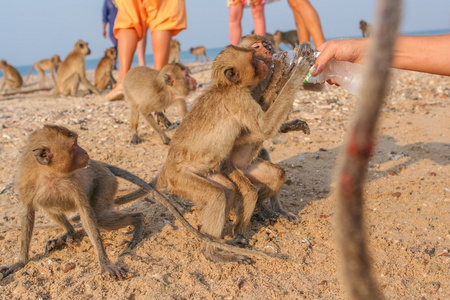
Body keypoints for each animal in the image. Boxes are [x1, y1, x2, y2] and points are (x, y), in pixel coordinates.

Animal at [0, 124, 270, 282]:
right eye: (74, 145)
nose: (86, 152)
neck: (49, 174)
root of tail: (102, 165)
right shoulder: (26, 184)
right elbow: (28, 213)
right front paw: (20, 261)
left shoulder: (75, 183)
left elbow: (87, 214)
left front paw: (105, 263)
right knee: (50, 205)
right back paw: (68, 232)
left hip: (106, 183)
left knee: (100, 216)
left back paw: (136, 224)